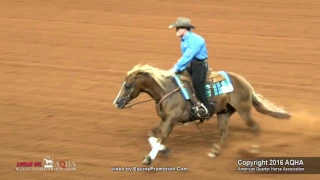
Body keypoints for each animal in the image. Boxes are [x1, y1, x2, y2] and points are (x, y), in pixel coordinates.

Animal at [114, 64, 292, 166]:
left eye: (128, 85)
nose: (117, 102)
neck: (167, 91)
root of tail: (246, 83)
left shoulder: (171, 120)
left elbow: (161, 137)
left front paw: (149, 158)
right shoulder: (164, 119)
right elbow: (151, 134)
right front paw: (164, 151)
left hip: (244, 110)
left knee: (254, 127)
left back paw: (254, 151)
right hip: (224, 113)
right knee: (224, 133)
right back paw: (214, 151)